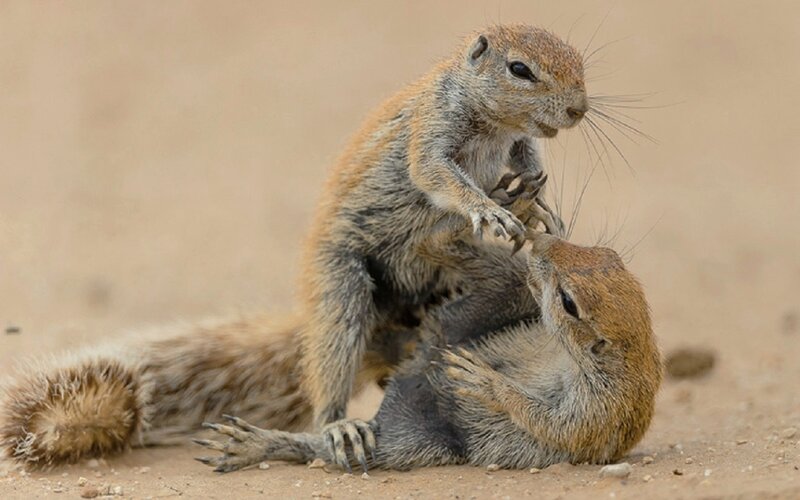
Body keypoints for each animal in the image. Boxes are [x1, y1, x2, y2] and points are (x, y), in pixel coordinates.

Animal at [194, 226, 663, 472]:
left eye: (568, 302)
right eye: (606, 253)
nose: (544, 244)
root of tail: (414, 368)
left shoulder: (598, 408)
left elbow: (552, 423)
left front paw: (486, 382)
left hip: (408, 442)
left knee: (331, 450)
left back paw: (257, 444)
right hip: (461, 320)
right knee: (500, 279)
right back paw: (440, 237)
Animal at [296, 23, 587, 430]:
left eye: (578, 59)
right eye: (519, 69)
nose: (580, 108)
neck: (496, 126)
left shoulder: (519, 142)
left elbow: (528, 160)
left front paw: (537, 208)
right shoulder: (433, 124)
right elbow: (435, 171)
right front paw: (489, 209)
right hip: (340, 287)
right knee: (333, 354)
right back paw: (339, 426)